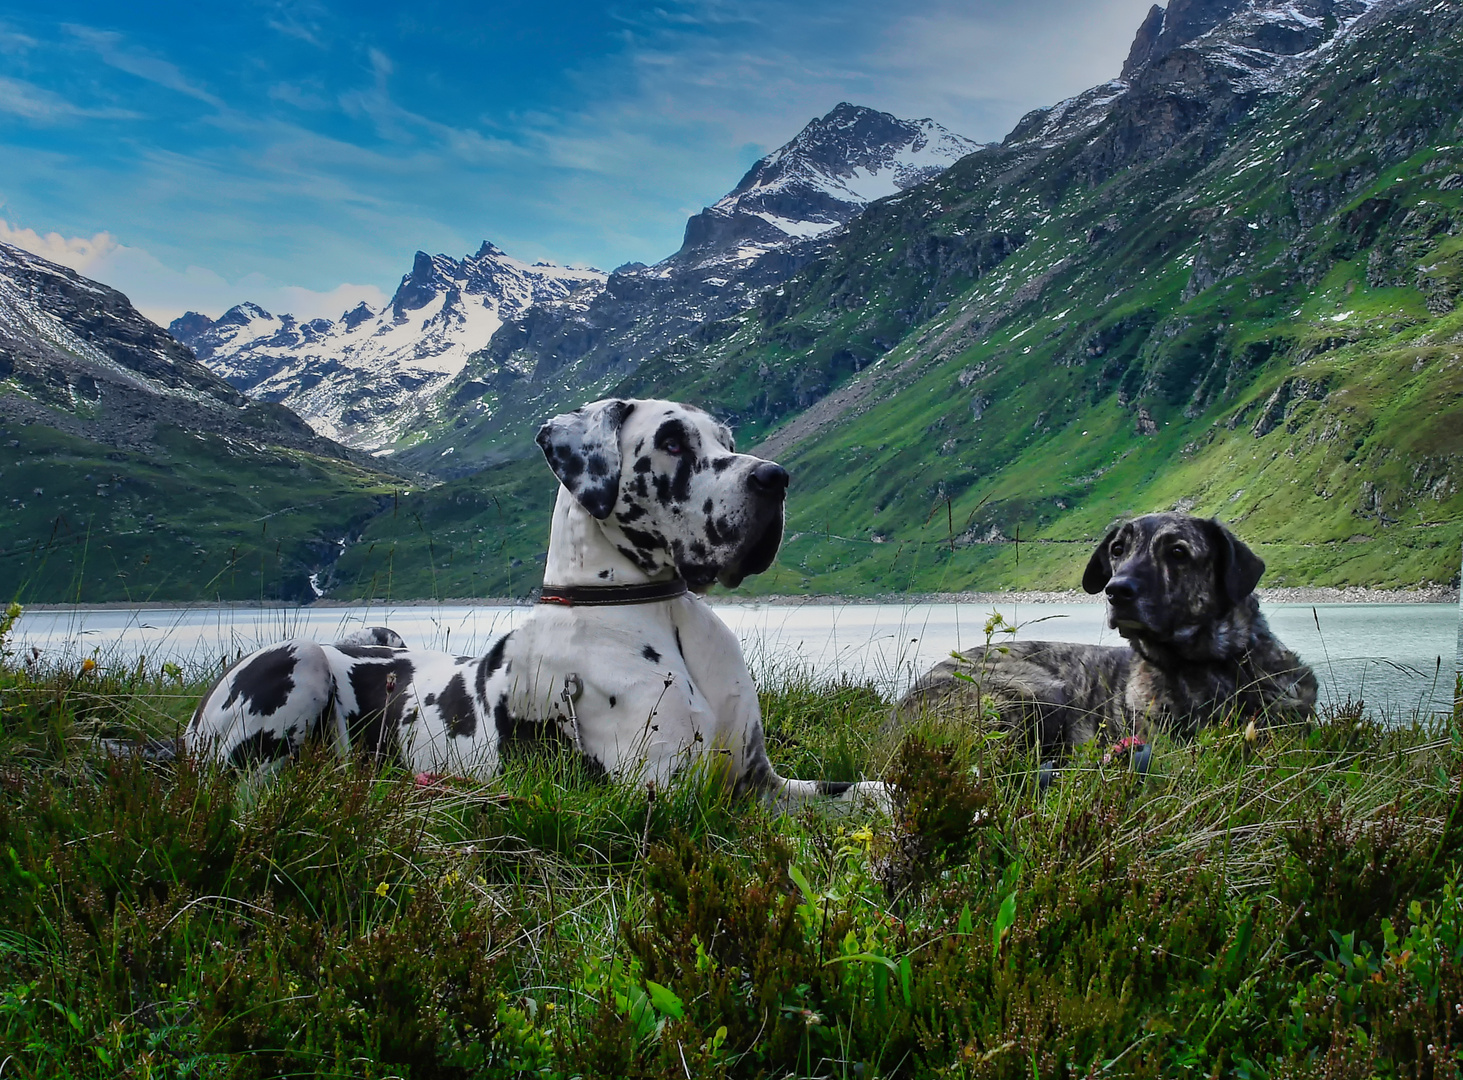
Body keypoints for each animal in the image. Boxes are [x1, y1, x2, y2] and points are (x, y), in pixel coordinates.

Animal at [187, 395, 883, 807]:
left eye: (726, 439)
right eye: (672, 442)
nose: (775, 477)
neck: (658, 611)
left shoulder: (764, 782)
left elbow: (874, 792)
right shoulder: (663, 799)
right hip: (298, 659)